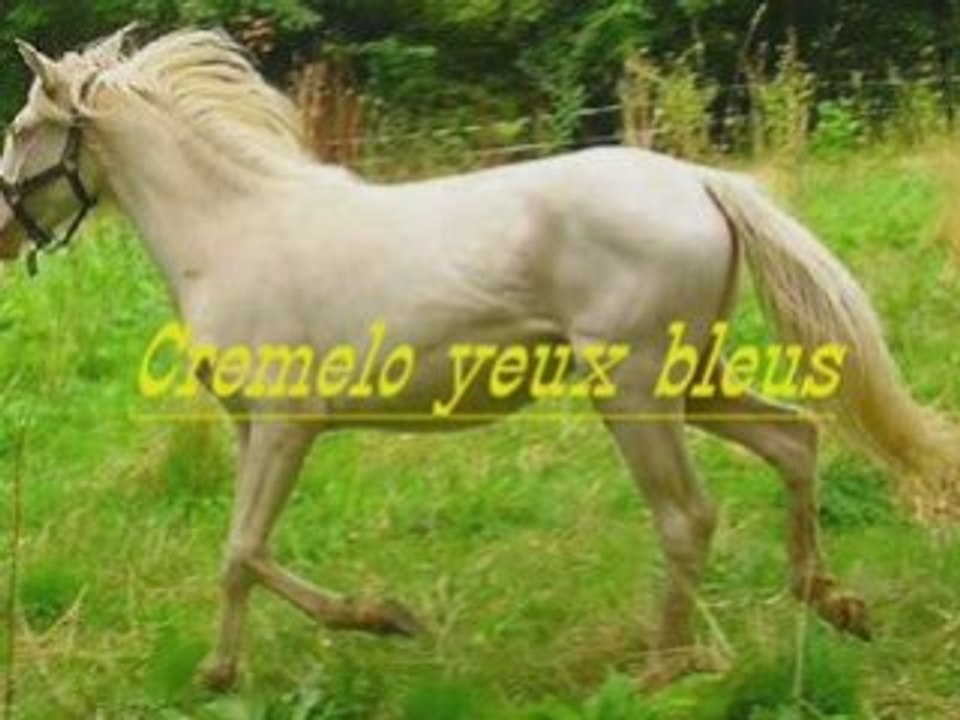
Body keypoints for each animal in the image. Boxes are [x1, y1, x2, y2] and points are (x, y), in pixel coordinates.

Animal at [1, 27, 956, 692]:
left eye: (22, 128)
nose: (5, 231)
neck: (232, 232)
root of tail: (697, 181)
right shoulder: (254, 431)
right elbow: (249, 554)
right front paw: (237, 667)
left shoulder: (285, 426)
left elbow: (241, 552)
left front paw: (376, 622)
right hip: (697, 378)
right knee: (796, 438)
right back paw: (833, 602)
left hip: (635, 388)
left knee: (688, 514)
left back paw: (663, 670)